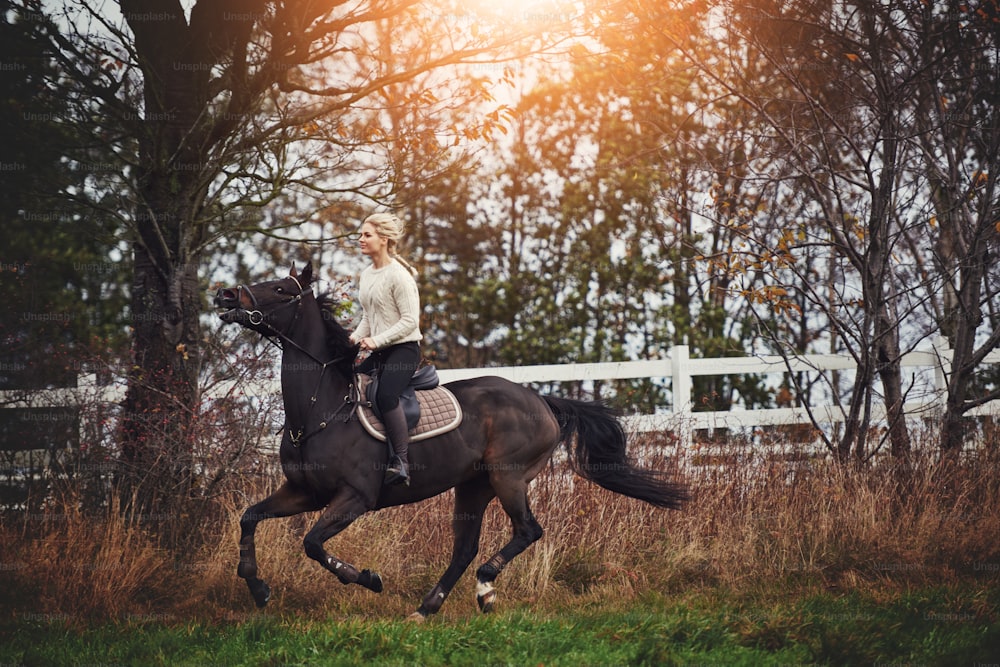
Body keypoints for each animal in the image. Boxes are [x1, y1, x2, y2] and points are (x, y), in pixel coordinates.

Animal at [215, 260, 688, 620]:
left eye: (280, 289)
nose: (225, 296)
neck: (321, 408)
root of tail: (540, 400)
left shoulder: (355, 497)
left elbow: (313, 544)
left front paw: (369, 579)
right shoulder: (304, 493)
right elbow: (250, 517)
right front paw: (257, 587)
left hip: (507, 478)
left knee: (527, 530)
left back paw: (485, 587)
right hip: (473, 486)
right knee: (465, 548)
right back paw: (428, 607)